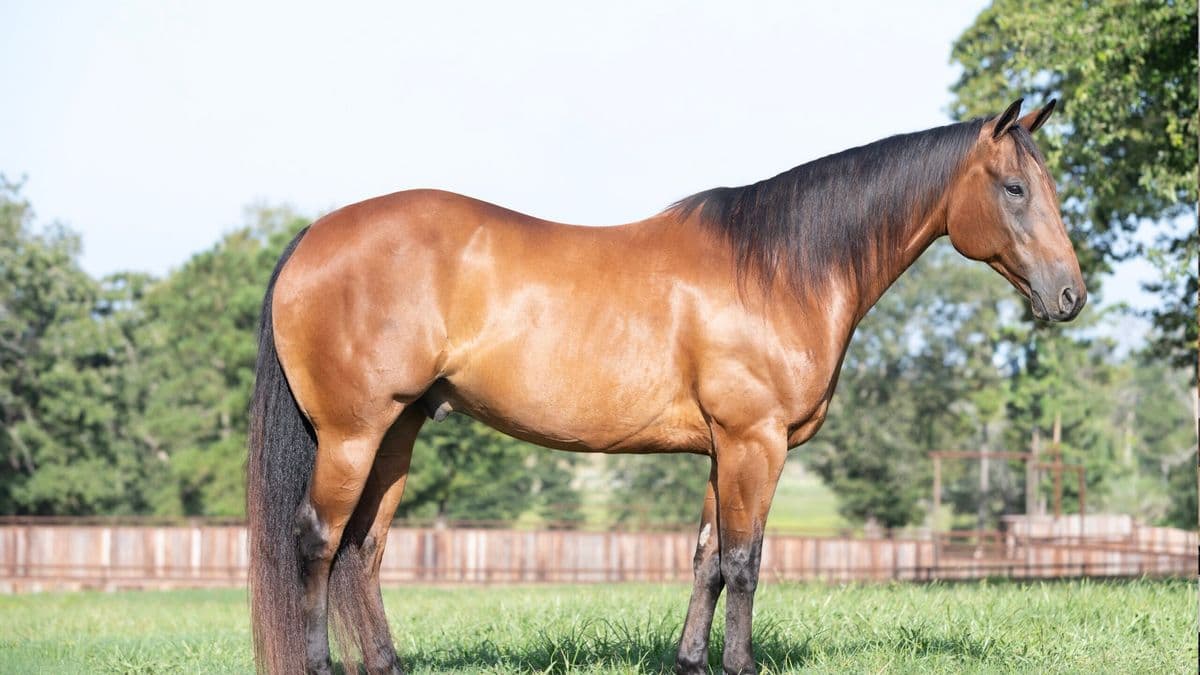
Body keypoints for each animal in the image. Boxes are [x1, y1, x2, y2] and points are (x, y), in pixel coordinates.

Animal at [246, 98, 1084, 674]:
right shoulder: (754, 442)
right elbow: (744, 561)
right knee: (317, 541)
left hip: (399, 430)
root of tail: (313, 237)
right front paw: (741, 664)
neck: (779, 268)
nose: (1070, 294)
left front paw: (689, 660)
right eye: (1014, 187)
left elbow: (706, 557)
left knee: (362, 550)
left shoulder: (722, 448)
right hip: (353, 433)